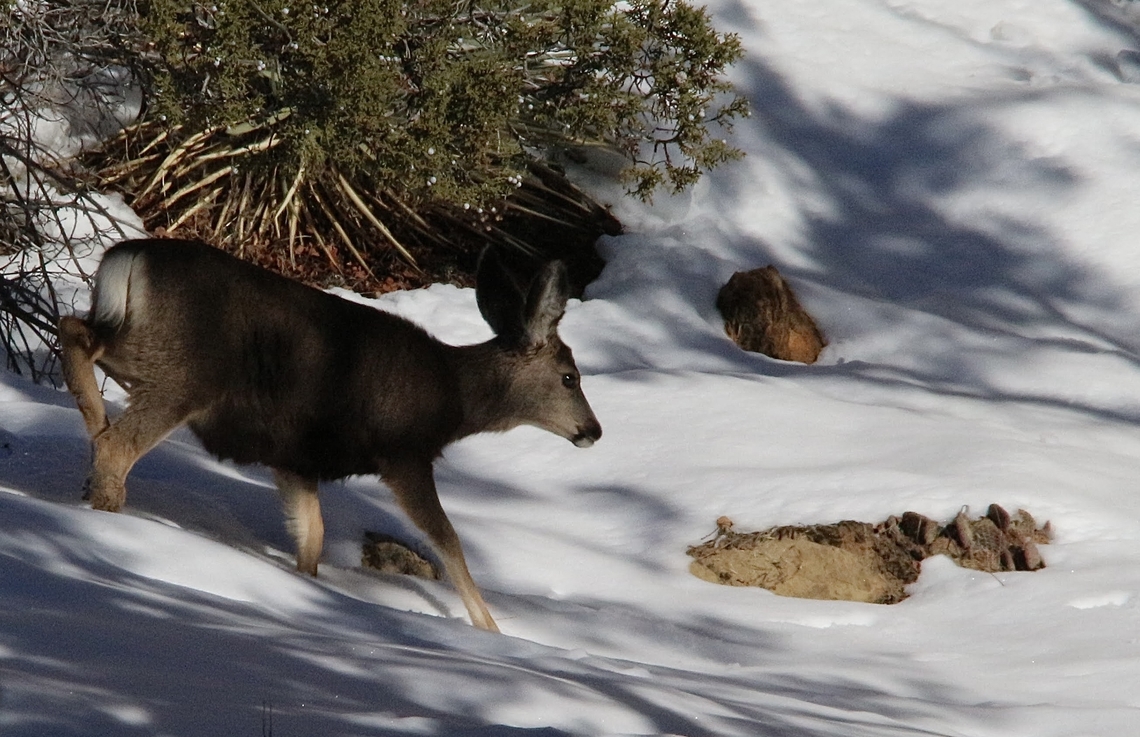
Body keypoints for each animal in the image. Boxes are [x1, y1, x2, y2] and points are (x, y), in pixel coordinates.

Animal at [58, 238, 602, 632]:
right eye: (569, 377)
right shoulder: (404, 454)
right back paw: (106, 500)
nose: (593, 431)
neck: (452, 399)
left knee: (74, 329)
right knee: (117, 439)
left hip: (142, 353)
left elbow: (312, 534)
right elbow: (449, 541)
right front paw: (491, 629)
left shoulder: (295, 456)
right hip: (182, 373)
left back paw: (91, 431)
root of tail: (128, 256)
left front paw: (307, 587)